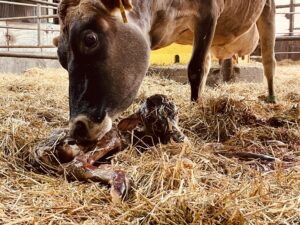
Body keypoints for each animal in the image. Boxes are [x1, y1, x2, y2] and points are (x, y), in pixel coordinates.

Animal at [54, 0, 276, 142]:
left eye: (90, 39)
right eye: (61, 57)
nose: (77, 128)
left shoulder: (209, 13)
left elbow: (196, 67)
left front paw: (194, 107)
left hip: (267, 10)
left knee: (268, 61)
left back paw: (272, 98)